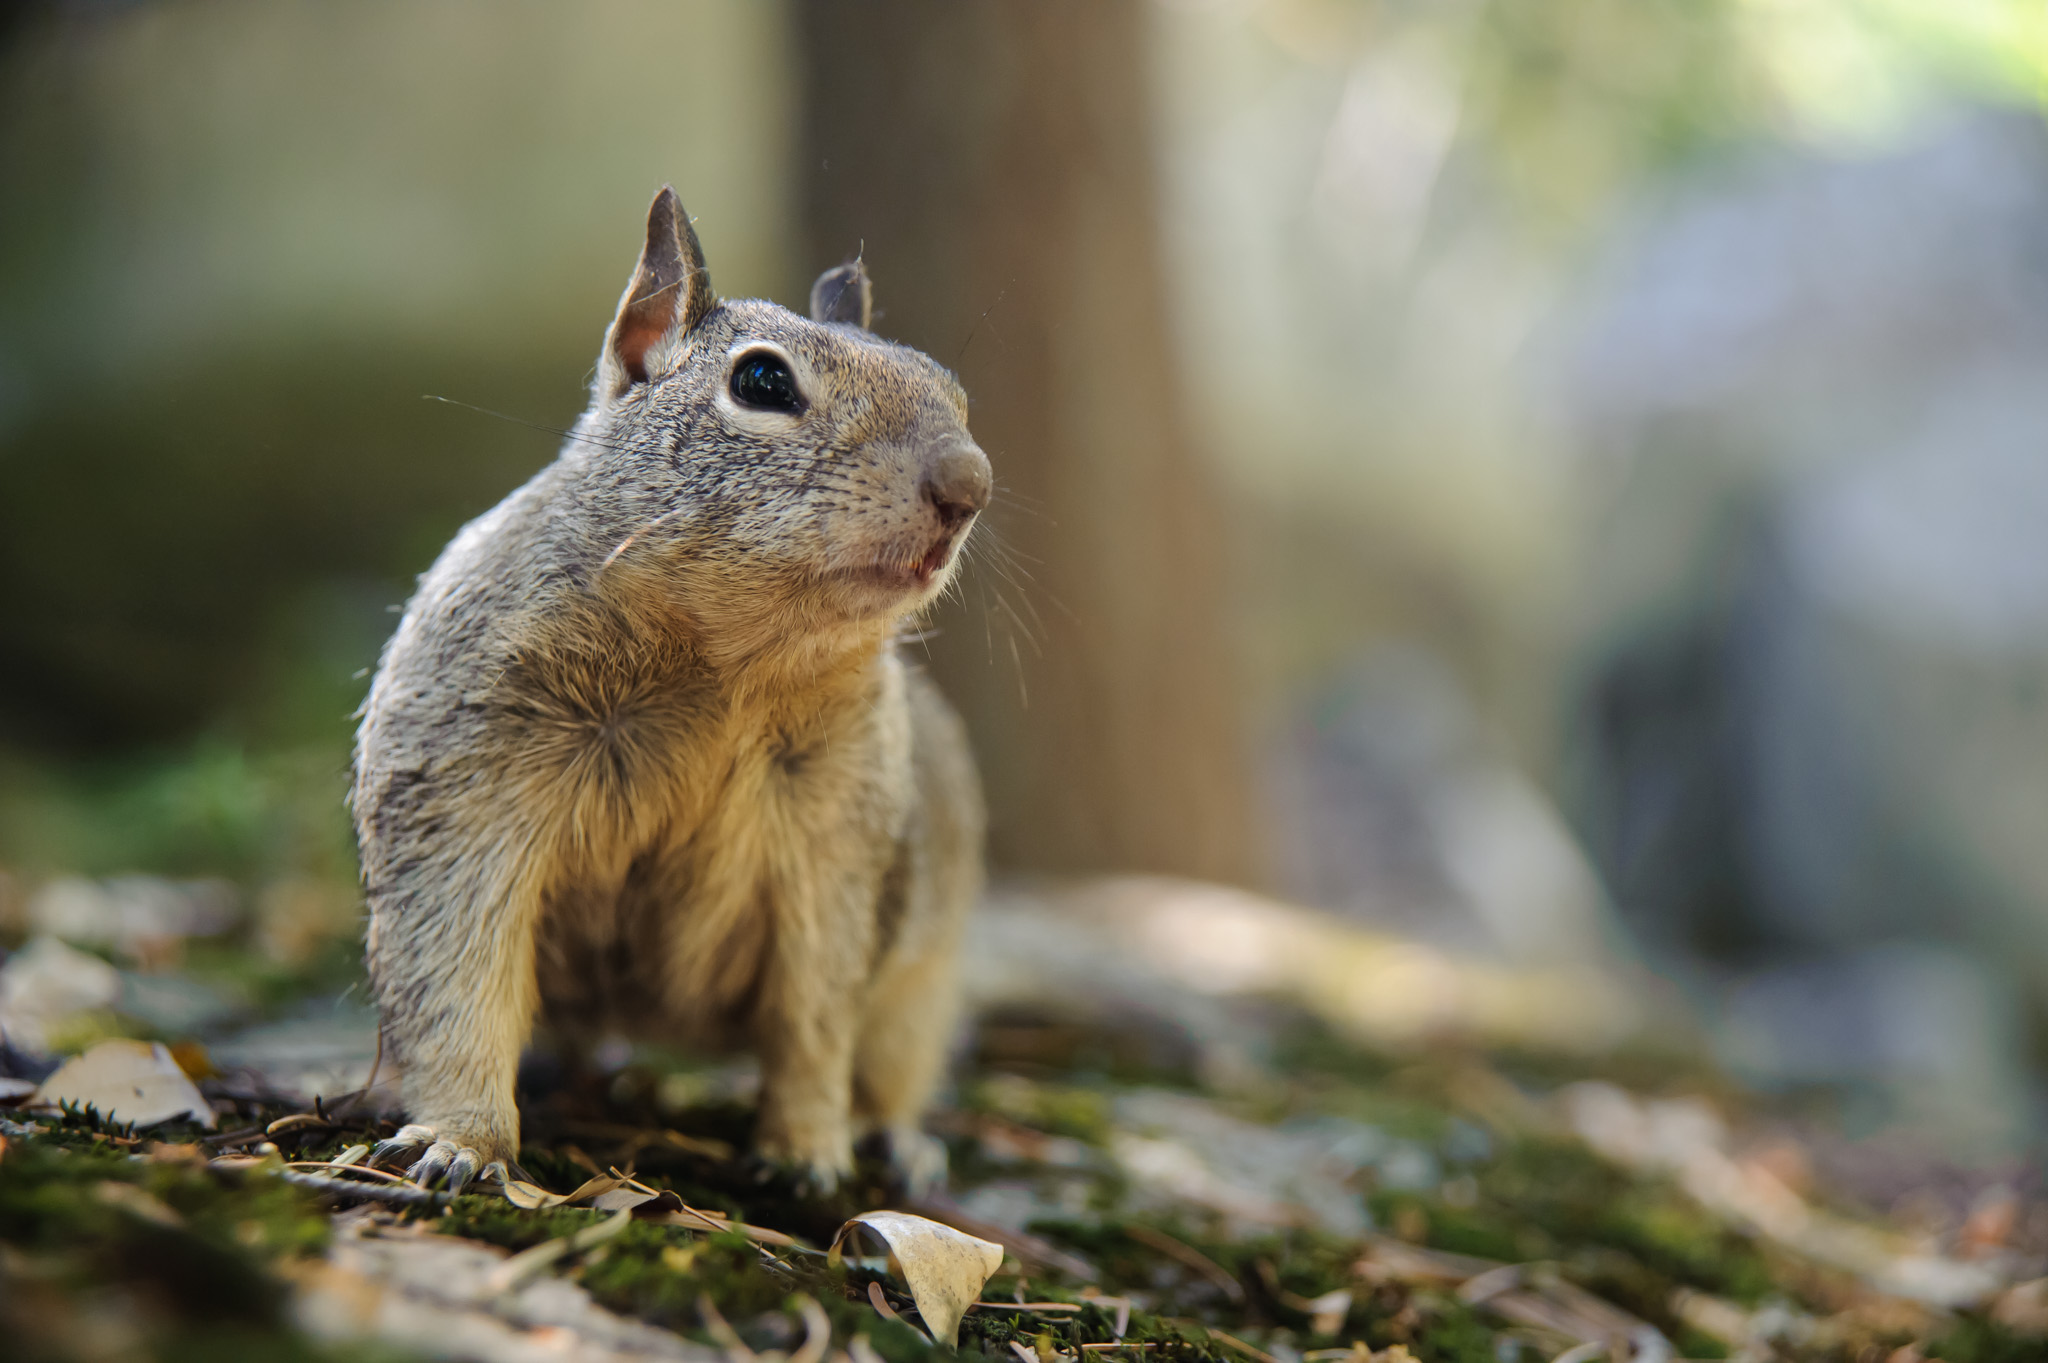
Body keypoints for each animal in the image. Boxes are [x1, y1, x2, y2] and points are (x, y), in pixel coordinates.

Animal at [352, 187, 990, 1194]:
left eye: (954, 389)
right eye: (762, 383)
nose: (971, 484)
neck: (724, 666)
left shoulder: (837, 831)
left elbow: (815, 1014)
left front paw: (805, 1150)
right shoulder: (466, 776)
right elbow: (457, 969)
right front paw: (461, 1139)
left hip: (921, 989)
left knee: (886, 1066)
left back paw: (895, 1140)